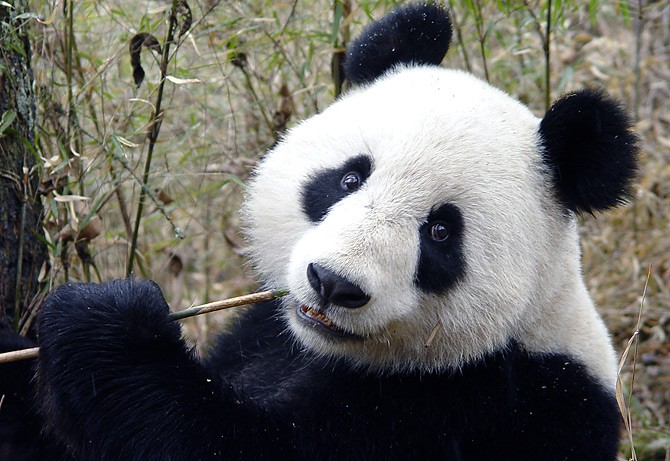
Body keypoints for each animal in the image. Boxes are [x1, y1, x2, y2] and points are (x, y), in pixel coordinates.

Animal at [0, 3, 638, 460]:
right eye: (349, 177)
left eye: (439, 233)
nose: (333, 284)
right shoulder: (264, 332)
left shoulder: (475, 403)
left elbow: (225, 444)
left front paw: (106, 320)